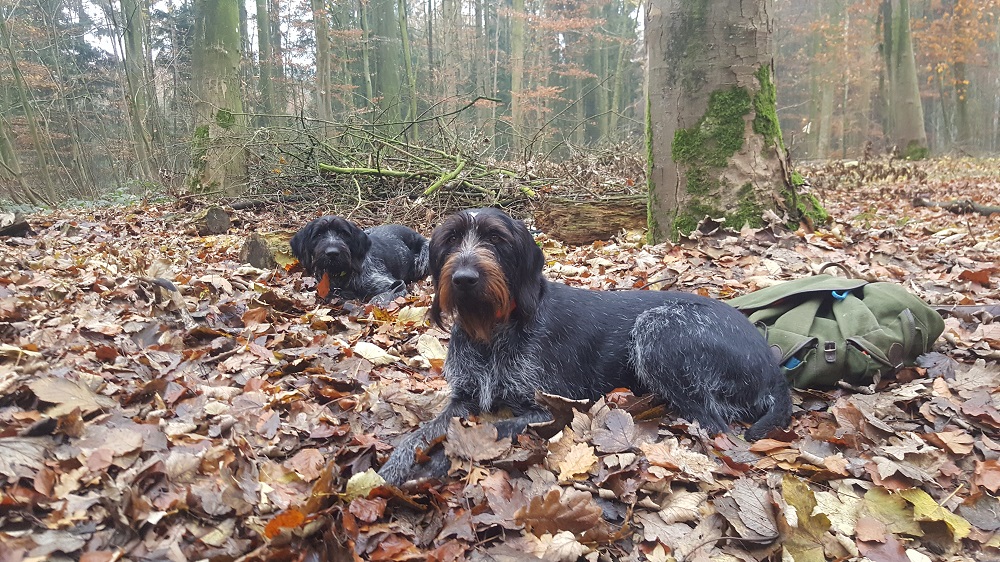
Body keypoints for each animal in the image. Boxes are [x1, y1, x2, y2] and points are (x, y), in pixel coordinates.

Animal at [378, 208, 792, 484]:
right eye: (450, 240)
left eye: (496, 239)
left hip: (658, 328)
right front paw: (394, 466)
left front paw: (437, 463)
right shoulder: (463, 397)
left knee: (713, 422)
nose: (464, 278)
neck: (491, 332)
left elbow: (494, 429)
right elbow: (423, 431)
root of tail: (773, 367)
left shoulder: (555, 407)